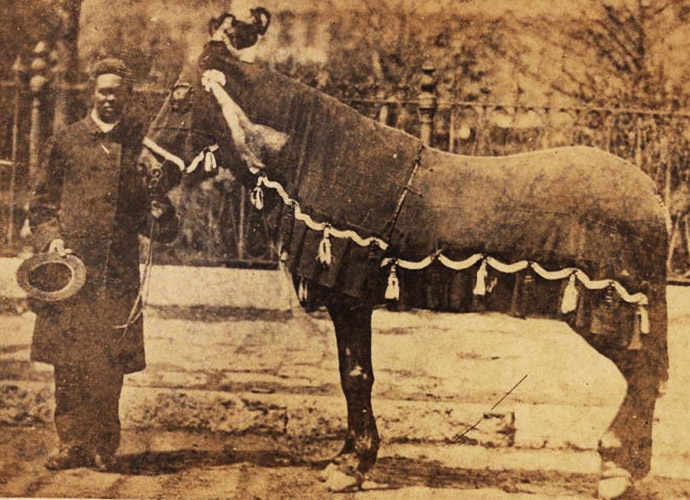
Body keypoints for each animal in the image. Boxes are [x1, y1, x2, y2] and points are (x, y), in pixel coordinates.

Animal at [136, 31, 670, 499]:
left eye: (181, 97)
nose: (144, 170)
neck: (319, 158)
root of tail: (654, 194)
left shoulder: (349, 298)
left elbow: (355, 376)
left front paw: (351, 465)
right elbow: (354, 374)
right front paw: (350, 458)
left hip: (609, 312)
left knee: (643, 377)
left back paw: (617, 470)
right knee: (644, 378)